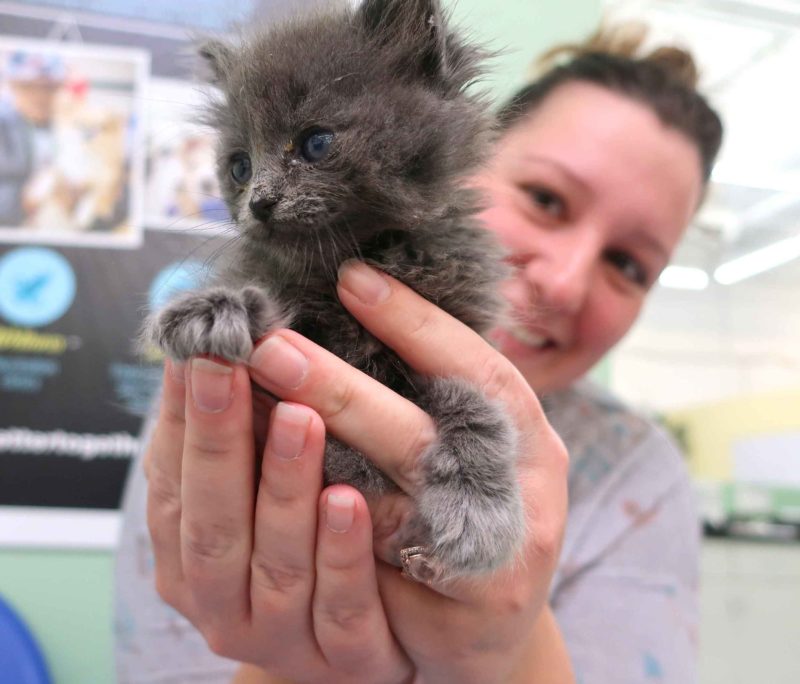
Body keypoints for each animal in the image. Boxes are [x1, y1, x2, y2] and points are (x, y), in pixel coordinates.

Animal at [145, 0, 524, 576]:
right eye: (240, 166)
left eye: (316, 143)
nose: (260, 202)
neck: (351, 257)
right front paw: (214, 310)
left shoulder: (460, 334)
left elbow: (477, 407)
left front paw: (478, 513)